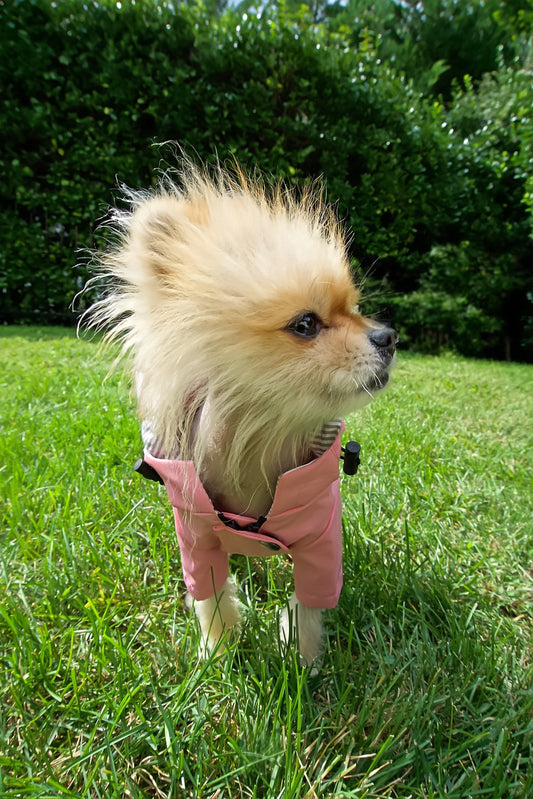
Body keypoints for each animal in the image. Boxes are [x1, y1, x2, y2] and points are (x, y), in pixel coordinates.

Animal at [85, 158, 396, 668]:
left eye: (356, 310)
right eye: (306, 324)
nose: (388, 336)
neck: (255, 442)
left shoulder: (319, 542)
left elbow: (308, 605)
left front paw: (303, 664)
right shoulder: (196, 539)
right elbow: (211, 597)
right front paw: (219, 654)